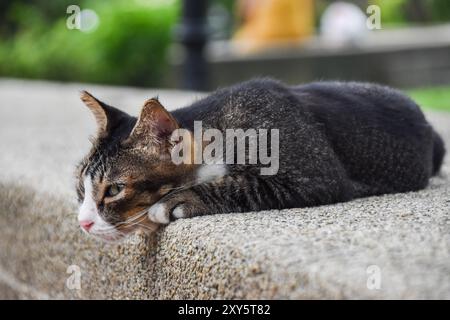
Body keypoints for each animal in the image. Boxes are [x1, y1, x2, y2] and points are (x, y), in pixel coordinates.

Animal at [75, 79, 444, 241]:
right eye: (81, 189)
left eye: (114, 190)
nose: (83, 222)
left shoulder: (315, 174)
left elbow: (240, 185)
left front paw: (176, 201)